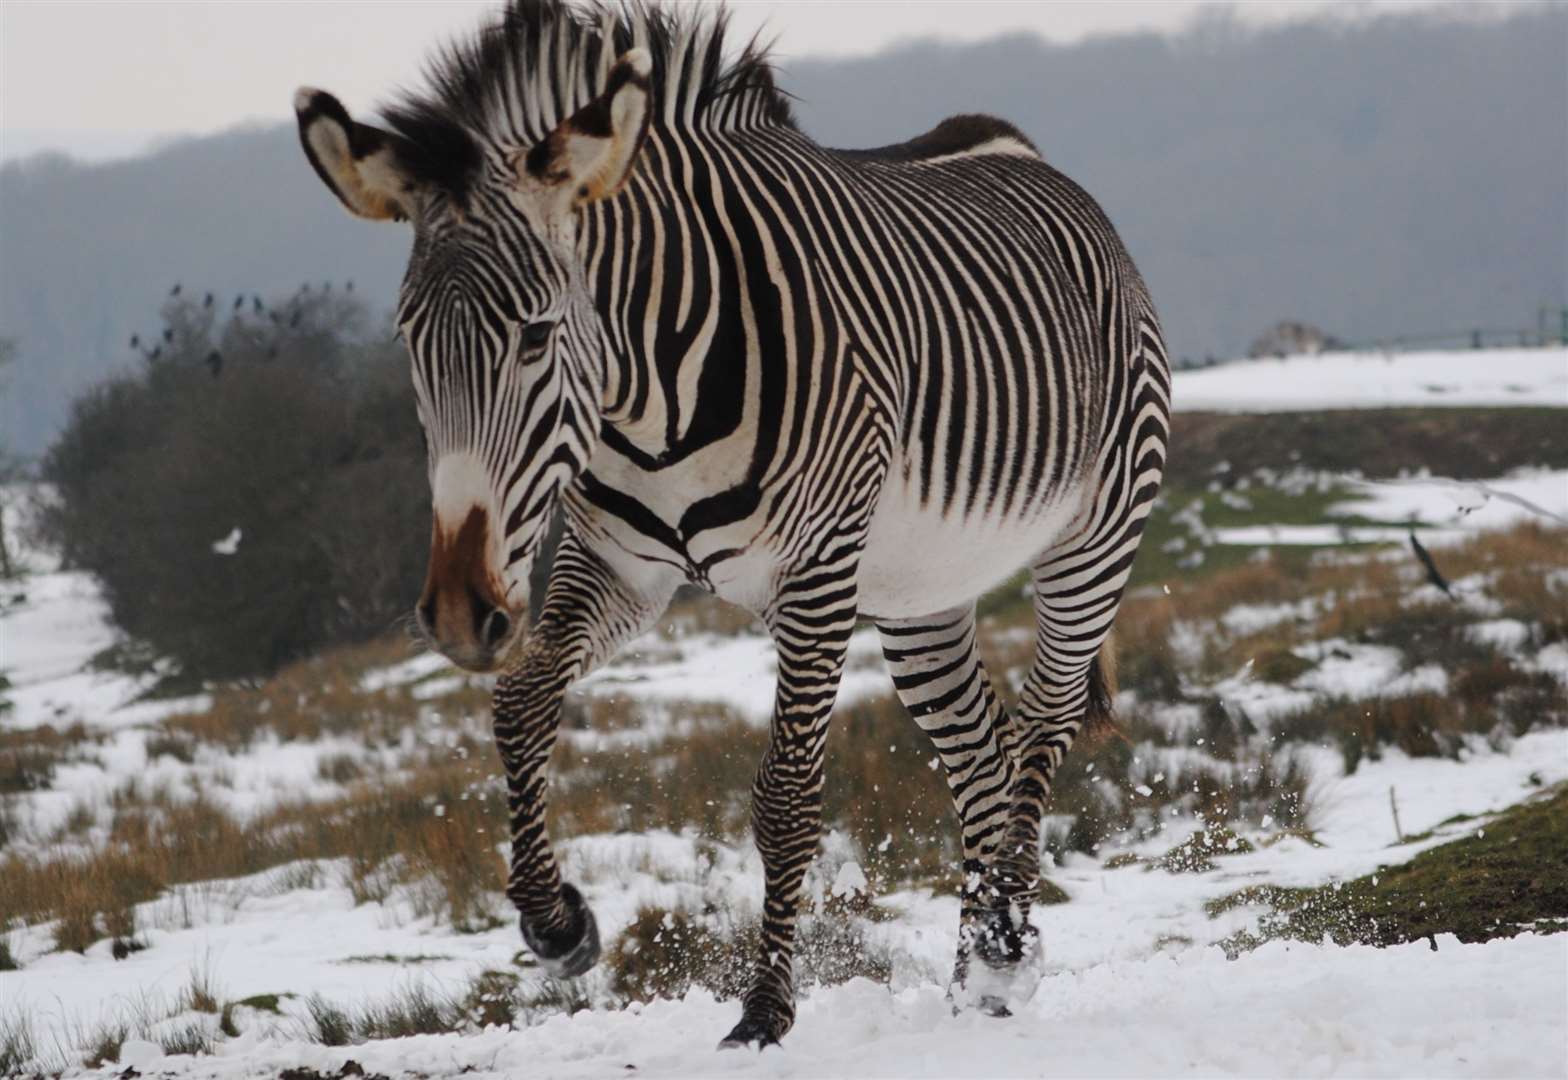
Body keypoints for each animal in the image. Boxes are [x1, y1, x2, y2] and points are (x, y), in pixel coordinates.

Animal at [299, 0, 1172, 1047]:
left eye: (537, 334)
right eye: (408, 340)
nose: (463, 615)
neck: (645, 402)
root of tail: (1011, 144)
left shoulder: (818, 569)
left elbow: (786, 796)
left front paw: (763, 1013)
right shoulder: (618, 567)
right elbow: (520, 706)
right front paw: (557, 923)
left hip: (1095, 537)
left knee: (1044, 722)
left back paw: (1002, 943)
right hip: (921, 591)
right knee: (981, 752)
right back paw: (977, 977)